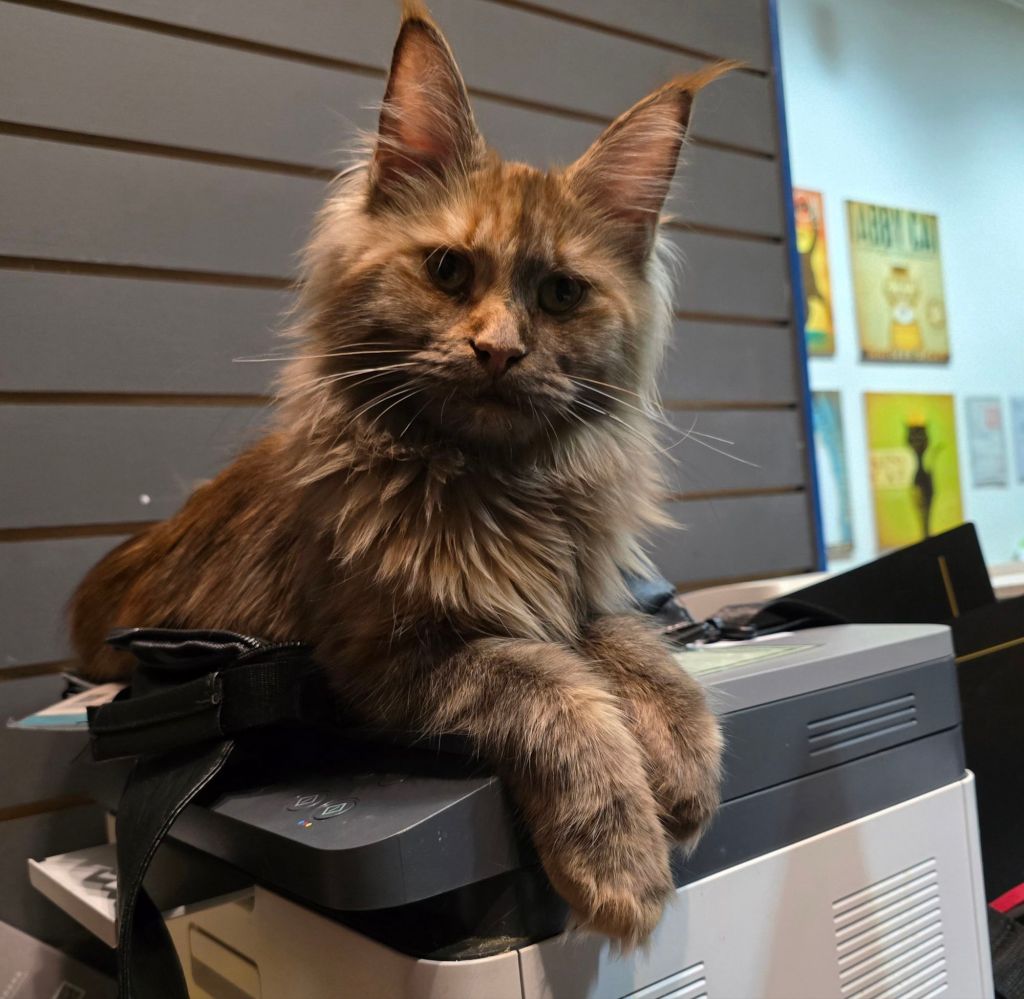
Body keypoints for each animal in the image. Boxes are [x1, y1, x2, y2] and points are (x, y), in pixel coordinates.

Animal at [69, 1, 728, 945]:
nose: (498, 350)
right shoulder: (385, 661)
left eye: (562, 293)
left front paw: (682, 761)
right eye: (448, 269)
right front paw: (622, 859)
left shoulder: (583, 593)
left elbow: (637, 647)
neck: (493, 487)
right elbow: (554, 686)